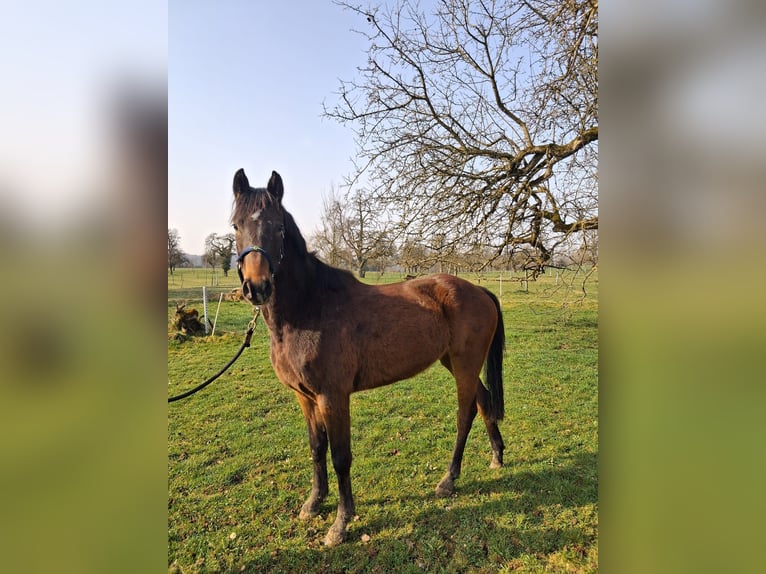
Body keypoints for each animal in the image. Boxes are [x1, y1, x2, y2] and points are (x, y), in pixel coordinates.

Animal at [231, 169, 506, 546]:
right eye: (235, 225)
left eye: (278, 227)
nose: (256, 287)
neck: (310, 308)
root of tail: (478, 290)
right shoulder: (305, 397)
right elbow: (316, 448)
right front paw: (313, 503)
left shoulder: (333, 397)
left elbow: (340, 456)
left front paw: (340, 523)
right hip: (455, 362)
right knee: (484, 400)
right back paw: (497, 457)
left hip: (464, 365)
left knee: (465, 415)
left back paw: (448, 480)